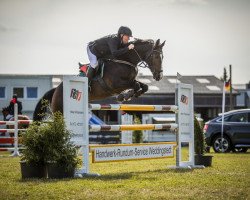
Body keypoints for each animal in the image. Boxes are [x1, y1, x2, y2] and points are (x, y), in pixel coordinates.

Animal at [33, 38, 166, 121]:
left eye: (163, 57)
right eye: (155, 56)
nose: (159, 76)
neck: (125, 60)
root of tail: (56, 90)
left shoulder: (129, 81)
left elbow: (144, 86)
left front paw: (128, 95)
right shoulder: (116, 84)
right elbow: (136, 85)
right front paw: (123, 96)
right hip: (60, 111)